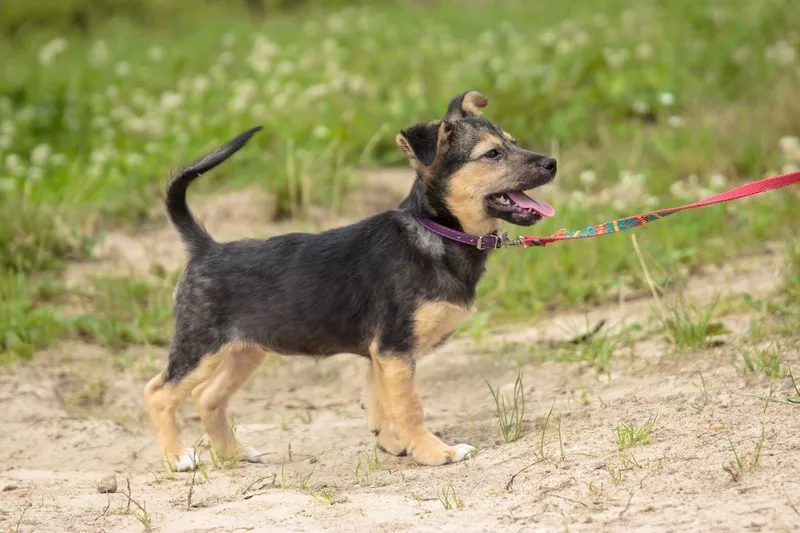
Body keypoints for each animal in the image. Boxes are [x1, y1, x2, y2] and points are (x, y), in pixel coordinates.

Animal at [144, 91, 556, 470]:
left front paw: (393, 443)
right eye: (492, 154)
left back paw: (232, 454)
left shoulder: (380, 356)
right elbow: (409, 408)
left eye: (513, 142)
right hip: (200, 347)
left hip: (245, 350)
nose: (552, 163)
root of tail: (204, 248)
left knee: (207, 397)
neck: (436, 232)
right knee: (158, 393)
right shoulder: (394, 349)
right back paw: (177, 457)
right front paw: (435, 452)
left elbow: (381, 403)